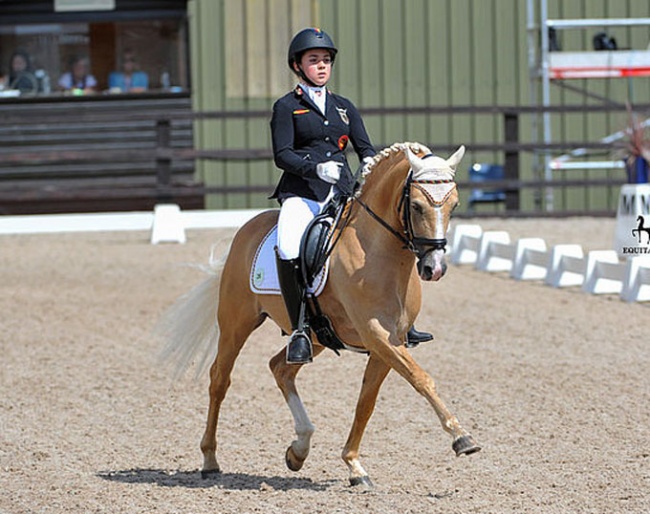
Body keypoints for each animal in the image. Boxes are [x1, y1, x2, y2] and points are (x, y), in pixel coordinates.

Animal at [158, 141, 478, 484]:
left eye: (454, 206)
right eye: (416, 206)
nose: (435, 268)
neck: (379, 252)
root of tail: (247, 229)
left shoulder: (390, 342)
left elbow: (366, 402)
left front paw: (354, 465)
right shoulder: (376, 334)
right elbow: (421, 379)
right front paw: (462, 438)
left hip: (316, 335)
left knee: (280, 368)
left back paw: (298, 449)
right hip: (236, 322)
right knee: (220, 378)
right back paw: (210, 460)